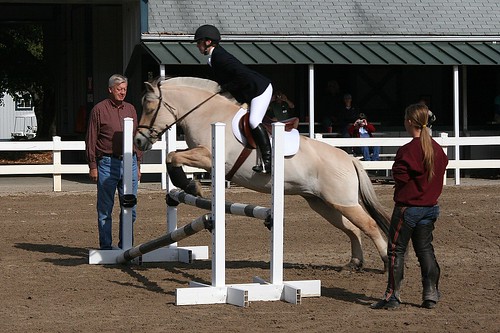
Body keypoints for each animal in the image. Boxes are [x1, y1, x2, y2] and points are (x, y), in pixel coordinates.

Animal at [136, 76, 390, 270]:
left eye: (150, 108)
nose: (138, 141)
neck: (206, 113)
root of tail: (349, 159)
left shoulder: (209, 157)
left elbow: (172, 156)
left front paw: (190, 185)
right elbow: (172, 156)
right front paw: (188, 185)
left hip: (342, 201)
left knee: (368, 225)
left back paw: (388, 262)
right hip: (323, 203)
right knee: (352, 228)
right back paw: (354, 263)